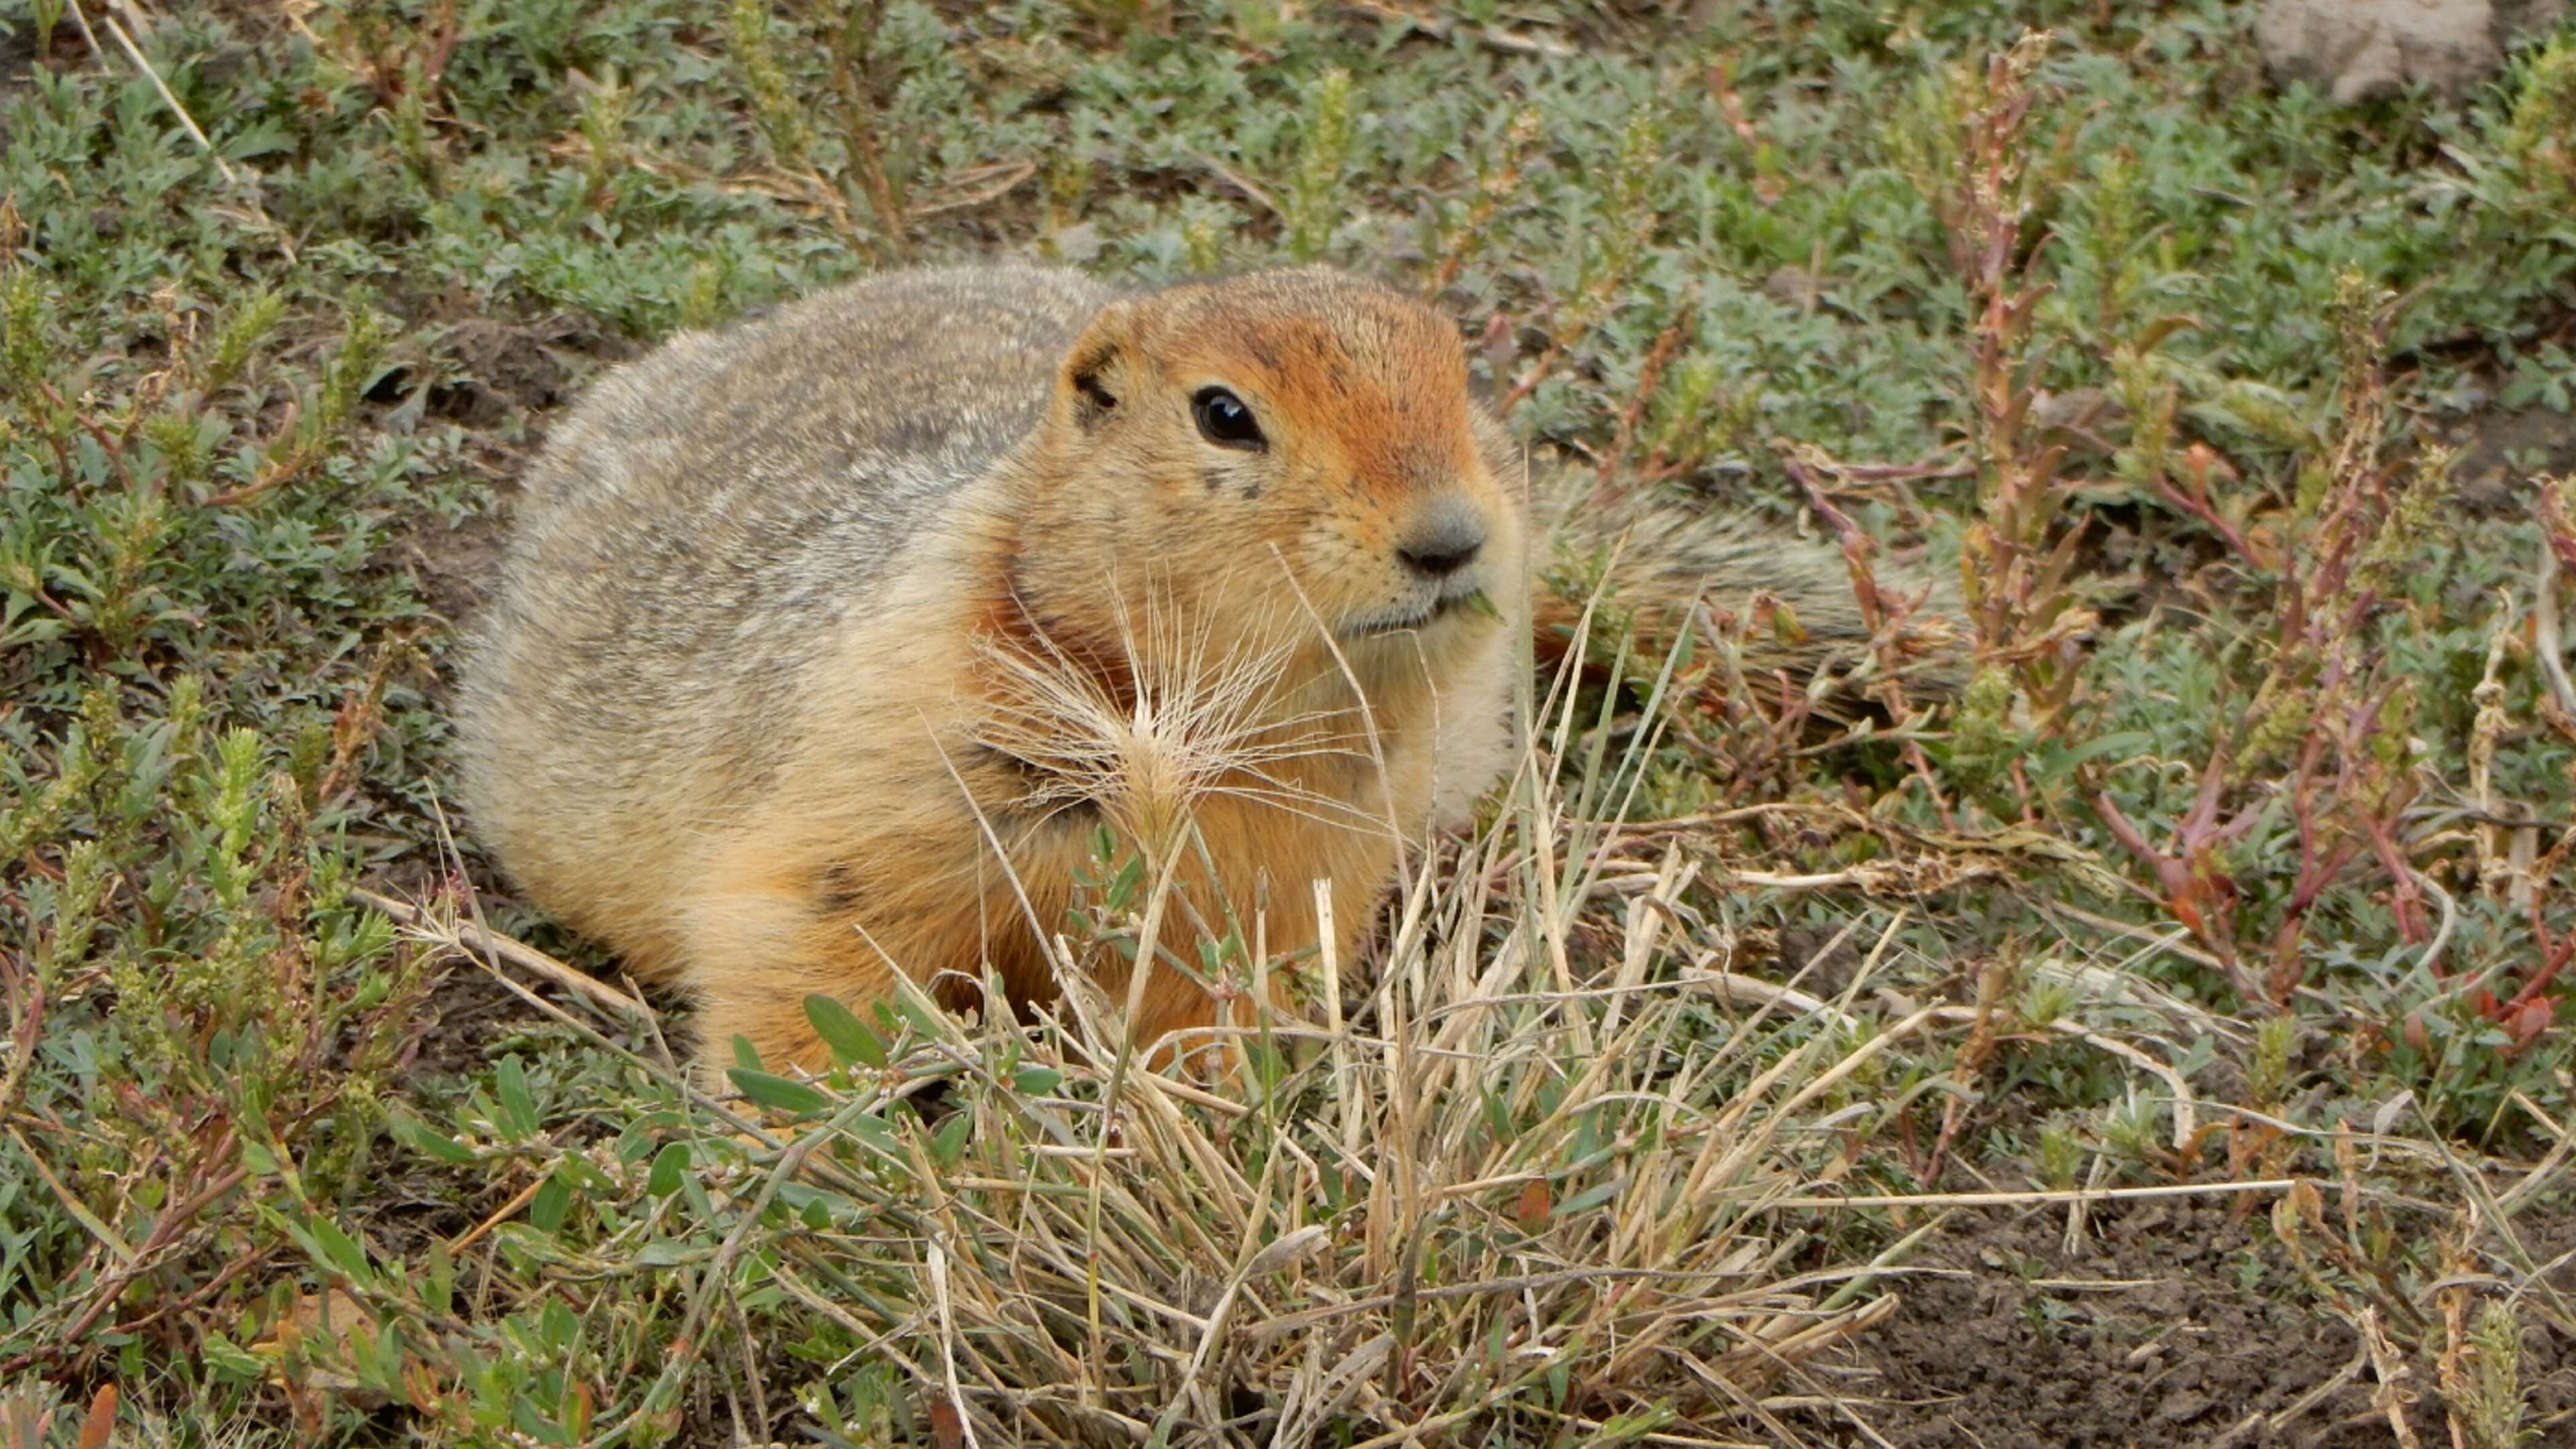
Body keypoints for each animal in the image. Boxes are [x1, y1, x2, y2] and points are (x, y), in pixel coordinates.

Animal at [454, 264, 1957, 1084]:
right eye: (1224, 413)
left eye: (1460, 376)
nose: (1453, 537)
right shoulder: (891, 752)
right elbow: (809, 937)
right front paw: (825, 1136)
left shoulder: (1304, 864)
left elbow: (1222, 995)